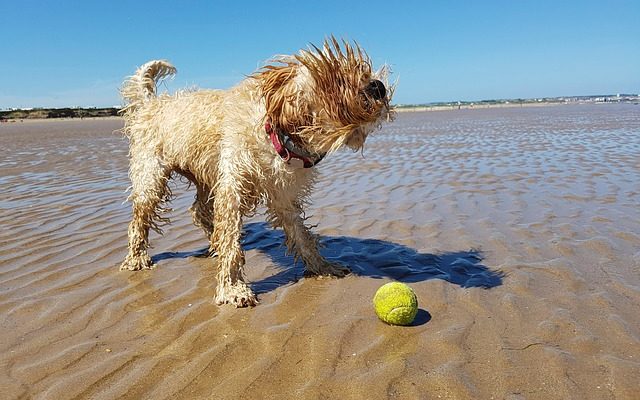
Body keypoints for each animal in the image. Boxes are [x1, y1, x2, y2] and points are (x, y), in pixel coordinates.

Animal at [117, 37, 392, 306]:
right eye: (338, 77)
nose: (378, 86)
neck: (278, 137)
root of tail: (152, 103)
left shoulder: (282, 195)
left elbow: (301, 235)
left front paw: (322, 267)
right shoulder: (233, 187)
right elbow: (230, 239)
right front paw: (233, 288)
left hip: (205, 174)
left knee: (198, 210)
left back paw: (212, 240)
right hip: (152, 177)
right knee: (141, 217)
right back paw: (137, 258)